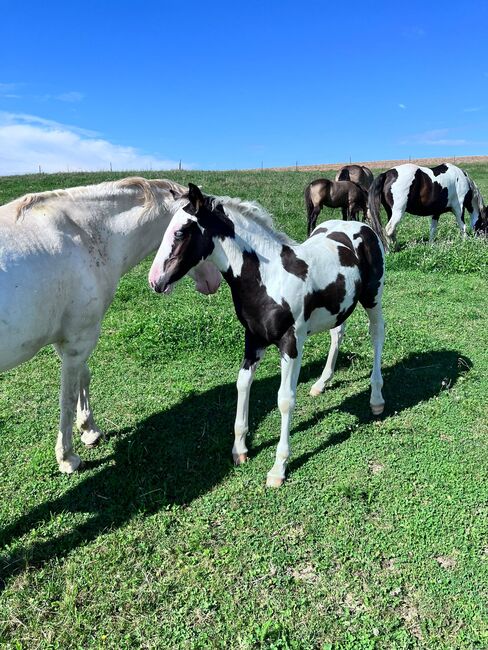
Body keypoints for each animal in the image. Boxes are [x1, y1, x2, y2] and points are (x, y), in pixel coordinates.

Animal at [0, 176, 221, 470]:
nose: (215, 282)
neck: (84, 233)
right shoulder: (79, 339)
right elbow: (67, 397)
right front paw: (67, 457)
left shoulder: (70, 339)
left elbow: (84, 377)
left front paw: (89, 430)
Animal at [149, 182, 386, 486]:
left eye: (180, 232)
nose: (155, 281)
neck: (268, 276)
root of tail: (361, 225)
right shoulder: (253, 339)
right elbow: (242, 384)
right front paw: (240, 449)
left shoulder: (291, 343)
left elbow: (285, 399)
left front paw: (278, 468)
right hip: (340, 305)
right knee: (337, 333)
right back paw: (321, 383)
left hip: (372, 296)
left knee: (377, 334)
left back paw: (376, 399)